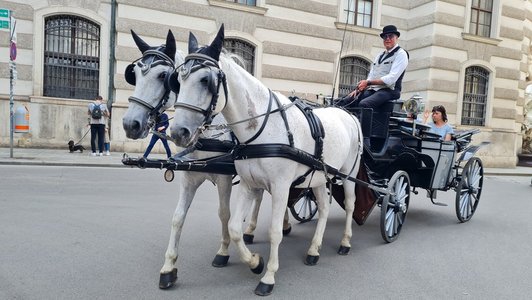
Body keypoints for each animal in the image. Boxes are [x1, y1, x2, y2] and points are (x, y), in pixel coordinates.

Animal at [121, 29, 290, 288]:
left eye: (163, 76)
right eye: (135, 75)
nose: (131, 124)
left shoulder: (223, 179)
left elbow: (224, 214)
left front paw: (223, 252)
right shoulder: (189, 179)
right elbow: (177, 218)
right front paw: (169, 267)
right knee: (262, 195)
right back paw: (254, 228)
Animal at [168, 25, 364, 296]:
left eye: (206, 80)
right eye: (178, 79)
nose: (178, 132)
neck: (261, 127)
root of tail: (349, 114)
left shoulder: (281, 187)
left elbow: (274, 231)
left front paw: (268, 276)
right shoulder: (249, 184)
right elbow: (234, 228)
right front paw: (254, 262)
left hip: (348, 175)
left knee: (351, 204)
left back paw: (345, 242)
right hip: (317, 178)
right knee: (324, 208)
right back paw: (314, 250)